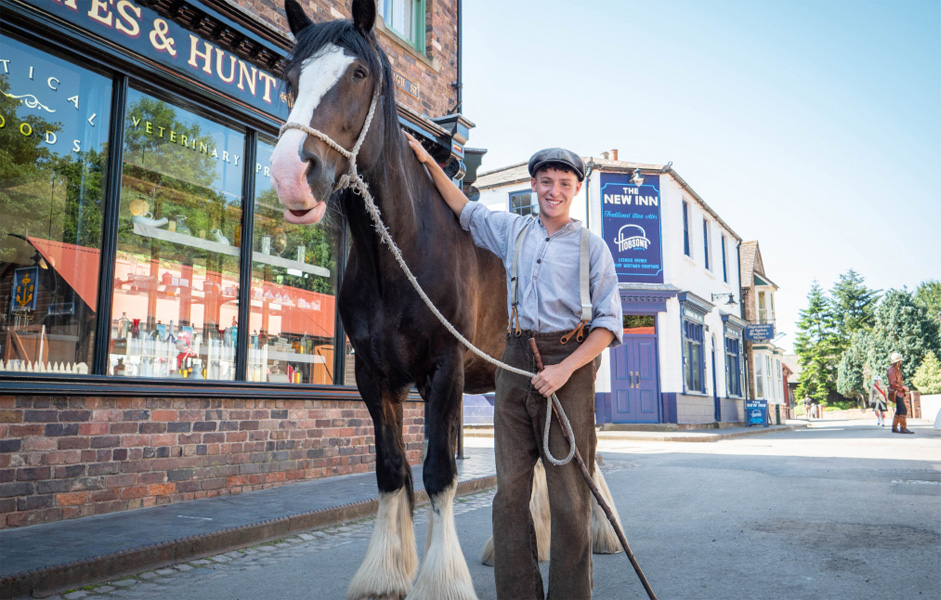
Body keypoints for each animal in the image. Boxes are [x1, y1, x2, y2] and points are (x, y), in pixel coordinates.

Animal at [272, 2, 506, 596]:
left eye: (359, 73)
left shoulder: (444, 370)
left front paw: (441, 581)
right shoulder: (377, 377)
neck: (399, 254)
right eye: (290, 79)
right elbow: (393, 470)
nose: (290, 174)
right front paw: (386, 571)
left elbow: (439, 473)